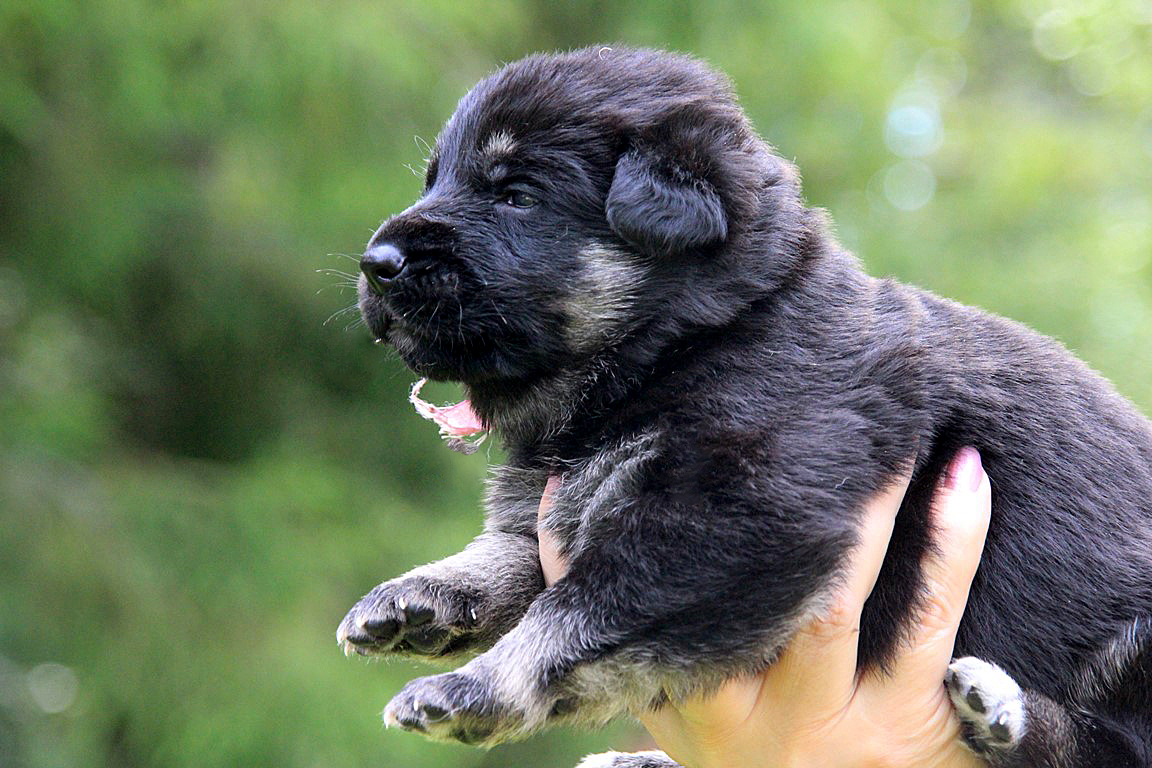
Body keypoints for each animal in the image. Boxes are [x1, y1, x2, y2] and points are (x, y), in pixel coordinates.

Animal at [336, 48, 1152, 768]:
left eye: (515, 194)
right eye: (435, 180)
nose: (374, 264)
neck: (692, 339)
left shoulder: (733, 518)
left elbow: (578, 609)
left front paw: (472, 688)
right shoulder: (579, 504)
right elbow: (513, 559)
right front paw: (420, 597)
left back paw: (1006, 713)